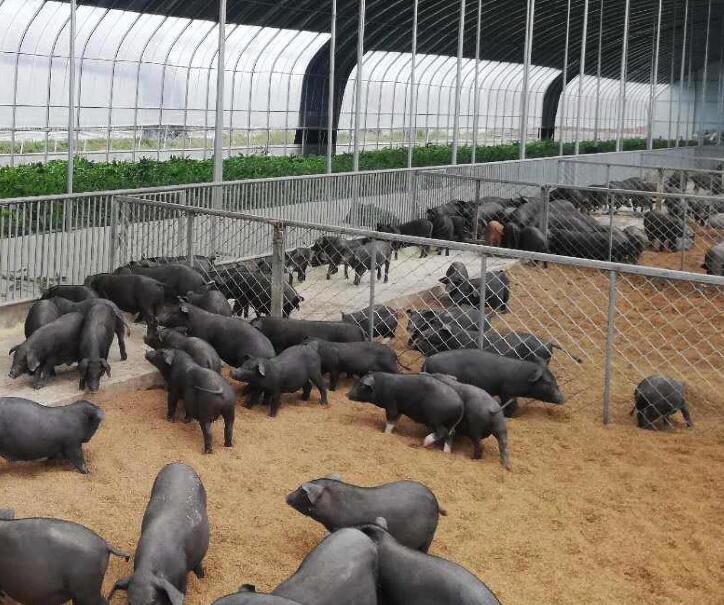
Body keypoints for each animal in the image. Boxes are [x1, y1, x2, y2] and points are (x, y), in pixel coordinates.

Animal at [108, 463, 209, 605]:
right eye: (129, 603)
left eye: (153, 603)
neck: (149, 570)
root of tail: (179, 463)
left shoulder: (181, 582)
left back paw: (201, 576)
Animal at [423, 349, 565, 417]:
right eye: (547, 381)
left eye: (554, 378)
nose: (563, 399)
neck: (522, 377)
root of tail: (427, 361)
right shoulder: (506, 392)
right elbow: (512, 406)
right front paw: (508, 416)